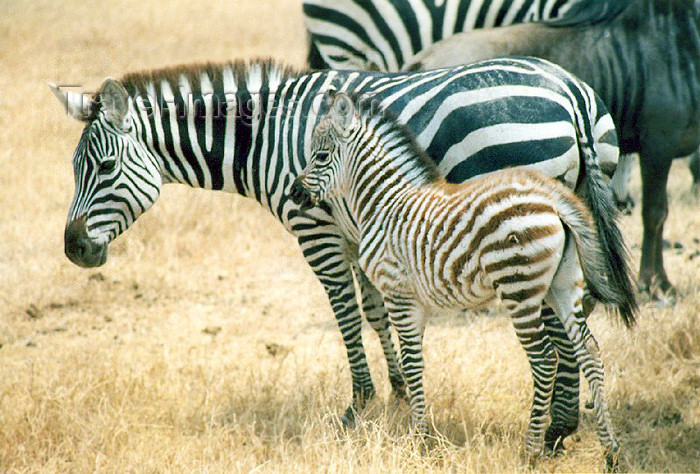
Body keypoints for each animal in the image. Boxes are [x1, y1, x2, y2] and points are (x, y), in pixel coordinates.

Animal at [49, 58, 616, 448]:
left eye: (103, 168)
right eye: (73, 169)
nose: (74, 250)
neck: (262, 140)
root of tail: (570, 90)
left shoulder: (315, 229)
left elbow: (345, 313)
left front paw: (359, 404)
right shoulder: (357, 231)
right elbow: (377, 310)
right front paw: (399, 392)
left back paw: (555, 430)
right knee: (575, 313)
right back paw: (565, 423)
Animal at [292, 92, 636, 466]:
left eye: (321, 156)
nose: (295, 195)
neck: (384, 202)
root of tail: (554, 200)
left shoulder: (397, 292)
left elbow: (410, 362)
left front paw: (418, 438)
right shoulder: (415, 301)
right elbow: (415, 362)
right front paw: (419, 430)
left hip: (519, 287)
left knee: (545, 358)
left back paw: (531, 450)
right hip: (563, 284)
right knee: (589, 349)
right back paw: (610, 450)